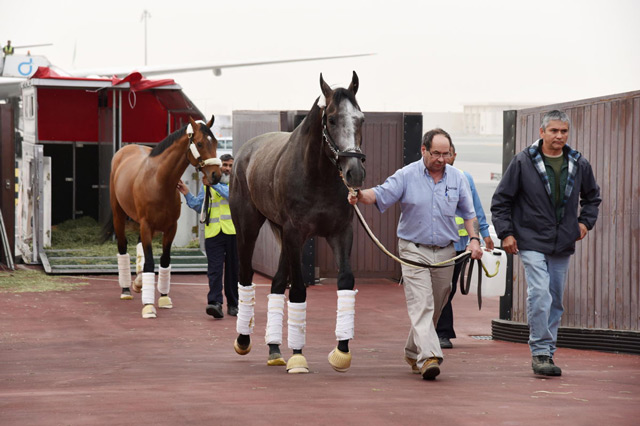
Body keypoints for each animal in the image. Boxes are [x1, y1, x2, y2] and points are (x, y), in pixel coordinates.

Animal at [109, 116, 222, 319]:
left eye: (216, 142)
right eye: (200, 143)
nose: (215, 175)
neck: (159, 181)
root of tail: (125, 150)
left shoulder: (170, 227)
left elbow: (165, 260)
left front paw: (163, 298)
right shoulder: (147, 225)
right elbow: (150, 263)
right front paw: (148, 306)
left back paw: (138, 283)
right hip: (119, 215)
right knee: (122, 247)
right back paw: (126, 289)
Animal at [230, 71, 366, 373]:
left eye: (361, 119)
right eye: (331, 119)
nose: (355, 172)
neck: (318, 176)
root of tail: (246, 151)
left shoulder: (340, 232)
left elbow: (345, 280)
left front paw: (341, 351)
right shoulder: (296, 233)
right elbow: (300, 289)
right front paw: (298, 356)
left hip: (282, 233)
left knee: (277, 283)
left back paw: (274, 349)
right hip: (248, 227)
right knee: (245, 276)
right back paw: (244, 340)